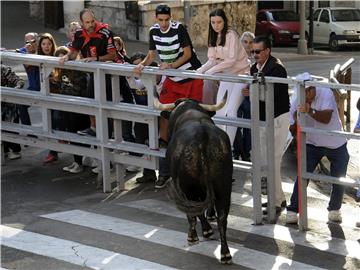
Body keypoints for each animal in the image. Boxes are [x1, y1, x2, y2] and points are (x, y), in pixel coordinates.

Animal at [163, 97, 233, 264]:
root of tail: (202, 136)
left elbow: (193, 214)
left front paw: (198, 234)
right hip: (224, 186)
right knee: (222, 218)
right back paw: (225, 253)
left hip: (190, 188)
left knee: (195, 210)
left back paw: (198, 236)